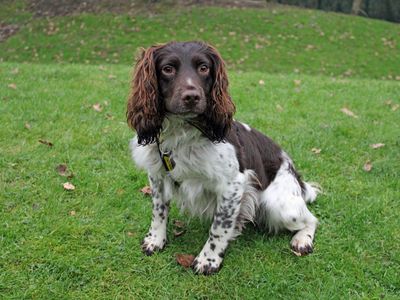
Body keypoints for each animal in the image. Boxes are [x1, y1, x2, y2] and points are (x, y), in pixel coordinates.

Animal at [126, 41, 320, 276]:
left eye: (203, 68)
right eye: (168, 69)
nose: (192, 97)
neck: (182, 132)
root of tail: (296, 177)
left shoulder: (233, 184)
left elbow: (219, 226)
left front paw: (208, 259)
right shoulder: (157, 175)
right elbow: (159, 210)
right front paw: (155, 240)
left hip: (278, 205)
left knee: (311, 219)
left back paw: (302, 240)